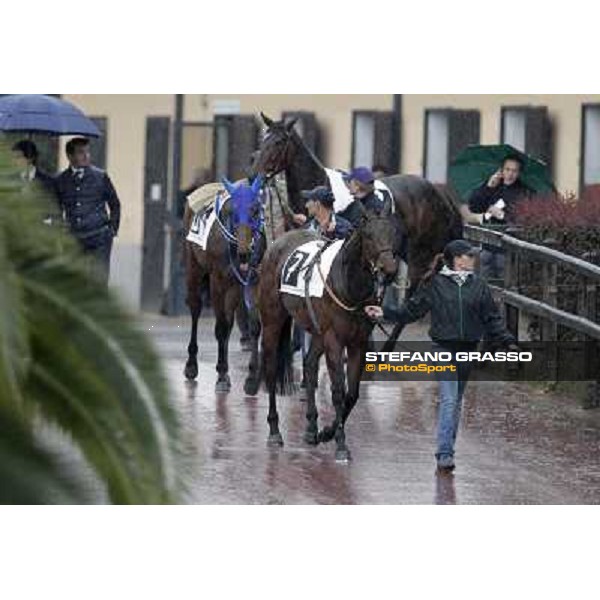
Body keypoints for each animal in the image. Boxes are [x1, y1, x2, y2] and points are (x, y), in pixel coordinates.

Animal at [183, 176, 264, 396]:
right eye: (232, 211)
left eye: (256, 209)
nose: (245, 253)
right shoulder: (218, 280)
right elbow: (220, 327)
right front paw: (221, 375)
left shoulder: (251, 280)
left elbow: (253, 325)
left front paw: (252, 378)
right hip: (194, 267)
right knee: (195, 307)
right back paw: (191, 364)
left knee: (228, 322)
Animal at [258, 213, 398, 462]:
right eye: (369, 235)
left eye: (393, 233)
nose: (389, 269)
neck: (347, 285)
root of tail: (277, 243)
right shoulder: (335, 340)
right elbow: (339, 392)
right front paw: (341, 444)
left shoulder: (358, 342)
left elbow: (352, 394)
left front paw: (326, 432)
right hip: (272, 321)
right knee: (272, 370)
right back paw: (274, 431)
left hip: (317, 331)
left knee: (310, 364)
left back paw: (311, 428)